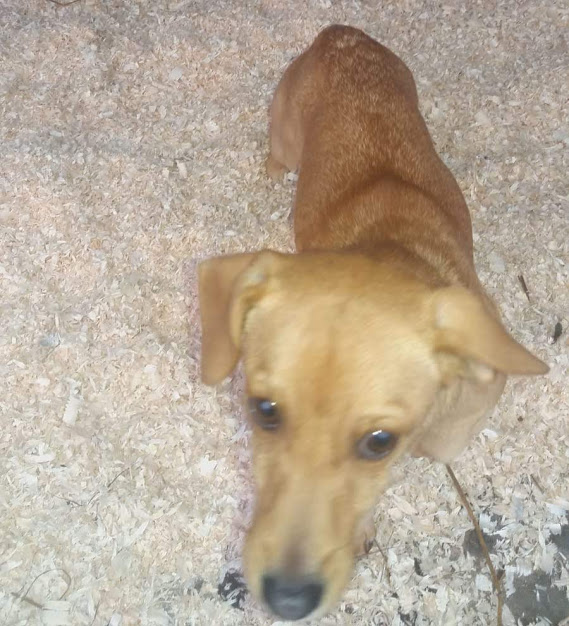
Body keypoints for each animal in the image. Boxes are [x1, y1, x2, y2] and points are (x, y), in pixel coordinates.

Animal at [197, 25, 548, 621]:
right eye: (263, 410)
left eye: (380, 442)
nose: (287, 600)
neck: (389, 249)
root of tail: (341, 35)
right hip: (286, 133)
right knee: (278, 154)